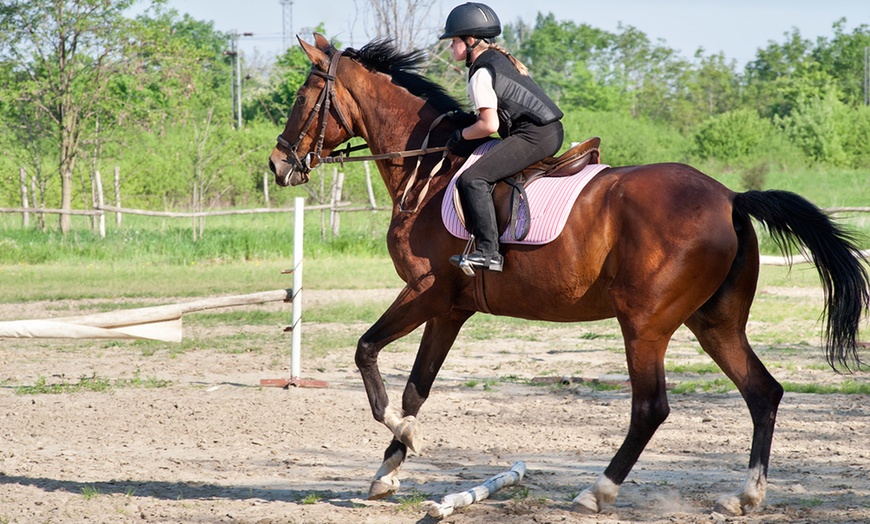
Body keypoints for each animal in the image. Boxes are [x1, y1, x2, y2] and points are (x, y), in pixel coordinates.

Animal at [270, 35, 868, 516]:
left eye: (301, 97)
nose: (277, 166)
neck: (431, 169)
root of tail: (729, 198)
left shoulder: (425, 292)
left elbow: (366, 350)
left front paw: (399, 435)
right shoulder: (451, 308)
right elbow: (418, 387)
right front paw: (389, 469)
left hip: (645, 325)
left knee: (651, 408)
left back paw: (597, 492)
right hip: (714, 323)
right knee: (763, 392)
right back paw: (745, 497)